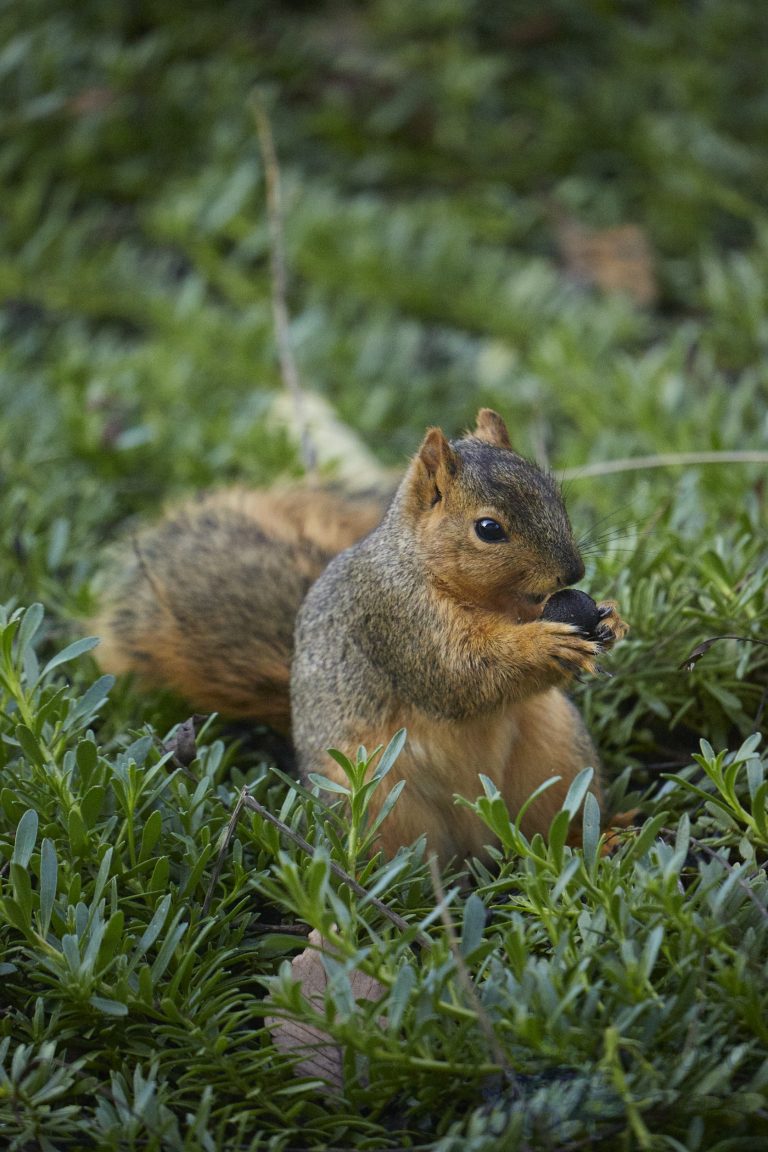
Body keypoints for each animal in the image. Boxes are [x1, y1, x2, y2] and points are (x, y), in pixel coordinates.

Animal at [94, 409, 628, 864]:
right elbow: (459, 675)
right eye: (488, 528)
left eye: (554, 494)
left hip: (557, 757)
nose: (573, 572)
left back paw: (596, 841)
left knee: (547, 826)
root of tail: (478, 834)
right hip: (377, 801)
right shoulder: (394, 620)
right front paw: (545, 644)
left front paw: (611, 619)